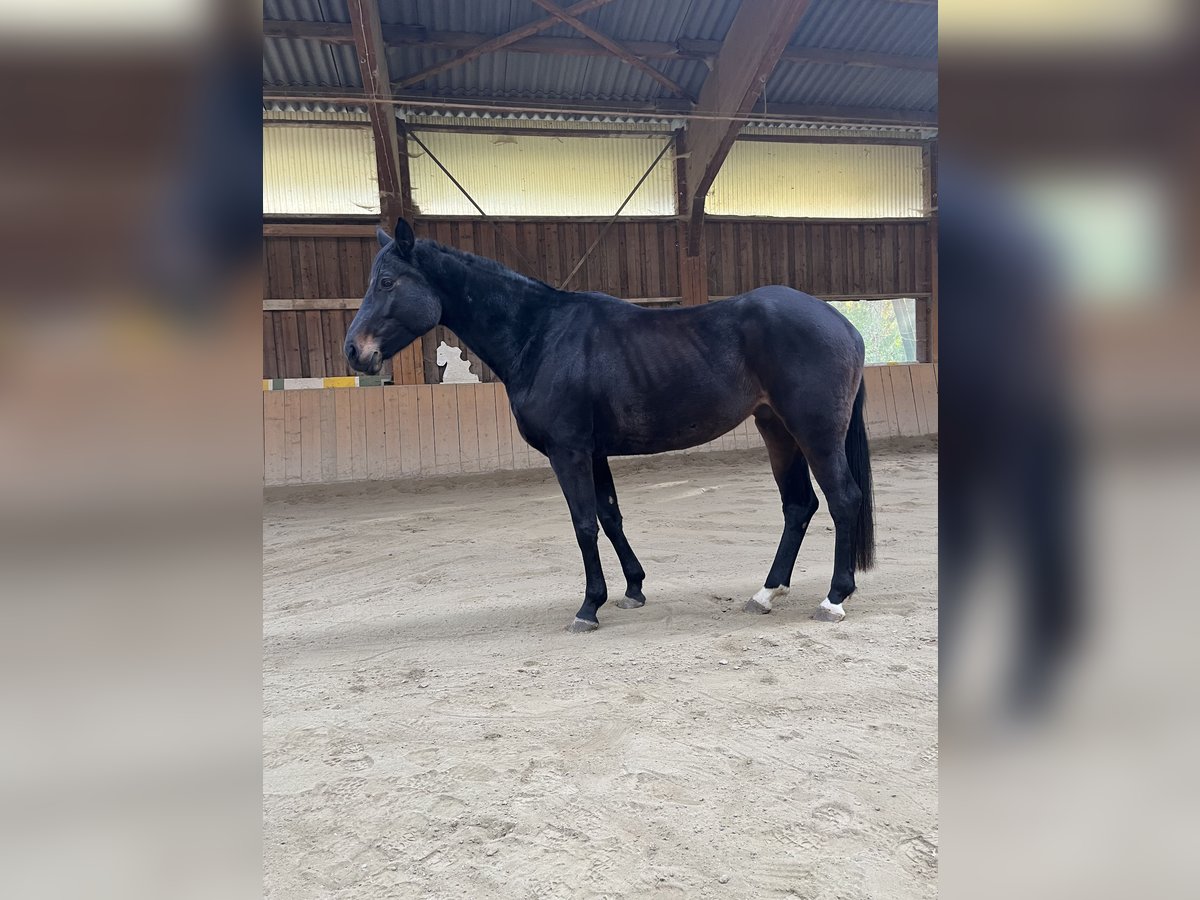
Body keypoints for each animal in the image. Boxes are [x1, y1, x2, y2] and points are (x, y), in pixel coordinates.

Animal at [345, 219, 875, 632]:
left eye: (387, 282)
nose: (354, 351)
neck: (540, 335)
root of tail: (845, 325)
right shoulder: (594, 452)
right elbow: (609, 515)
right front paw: (633, 589)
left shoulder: (569, 452)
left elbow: (583, 524)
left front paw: (588, 606)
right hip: (777, 431)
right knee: (799, 505)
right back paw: (766, 593)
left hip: (816, 434)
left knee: (843, 499)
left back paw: (833, 599)